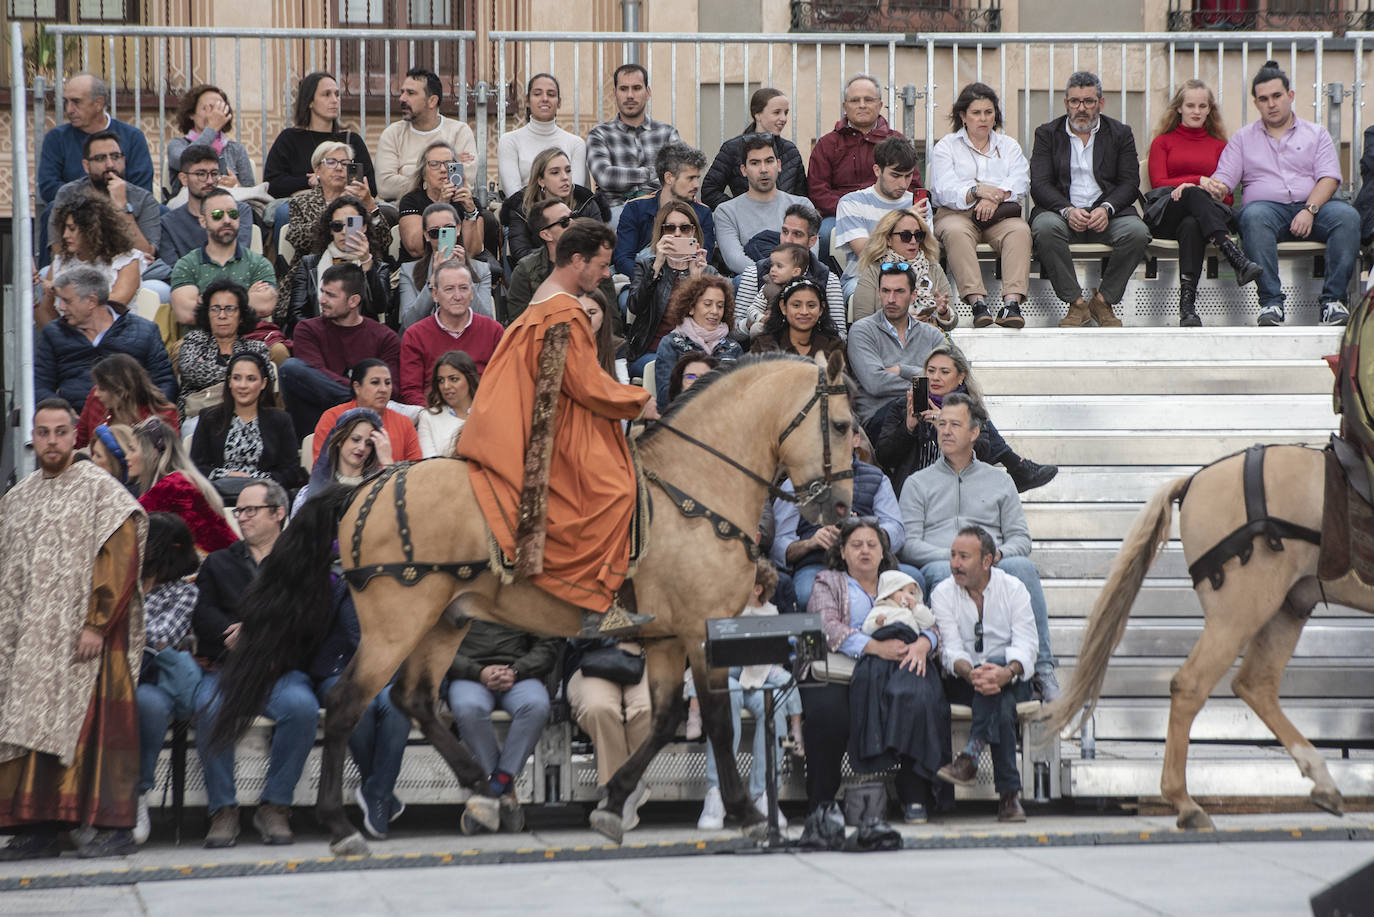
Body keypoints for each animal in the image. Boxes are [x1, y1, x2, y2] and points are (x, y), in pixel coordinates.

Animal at [208, 349, 851, 852]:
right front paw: (748, 814)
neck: (693, 488)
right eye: (844, 425)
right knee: (347, 704)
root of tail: (364, 486)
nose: (841, 509)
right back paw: (344, 825)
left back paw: (484, 790)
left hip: (442, 621)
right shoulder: (700, 628)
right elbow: (714, 719)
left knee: (415, 699)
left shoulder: (668, 636)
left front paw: (612, 802)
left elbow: (669, 717)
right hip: (396, 624)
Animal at [1038, 445, 1374, 830]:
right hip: (1242, 608)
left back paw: (1321, 780)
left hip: (1290, 604)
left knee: (1254, 683)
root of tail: (1193, 480)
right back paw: (1185, 803)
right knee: (1192, 684)